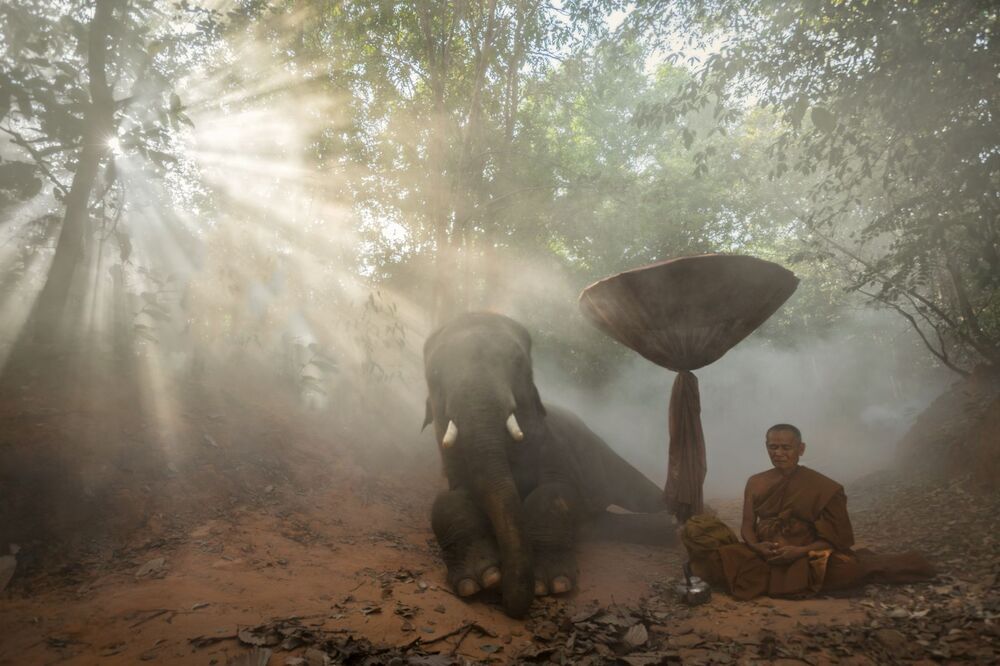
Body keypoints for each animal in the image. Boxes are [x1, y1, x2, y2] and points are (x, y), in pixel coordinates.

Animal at [423, 312, 672, 618]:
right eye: (434, 374)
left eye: (518, 361)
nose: (510, 604)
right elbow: (449, 500)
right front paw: (481, 580)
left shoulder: (554, 446)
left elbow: (555, 493)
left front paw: (551, 585)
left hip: (604, 454)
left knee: (639, 490)